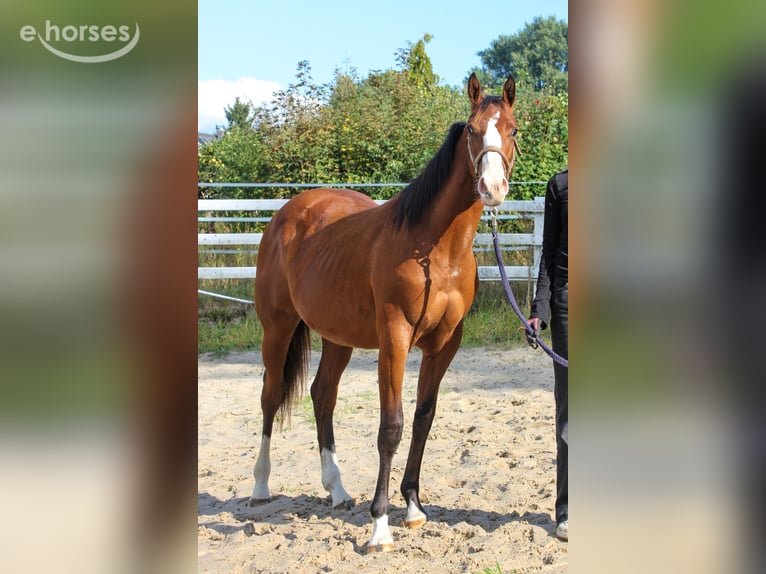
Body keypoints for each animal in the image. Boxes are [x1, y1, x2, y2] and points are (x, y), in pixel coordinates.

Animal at [249, 73, 519, 552]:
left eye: (514, 130)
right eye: (472, 130)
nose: (492, 188)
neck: (433, 249)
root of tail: (287, 215)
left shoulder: (445, 345)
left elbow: (423, 418)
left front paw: (412, 507)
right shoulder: (394, 337)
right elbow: (391, 426)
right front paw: (379, 525)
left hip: (337, 337)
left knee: (322, 395)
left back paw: (337, 490)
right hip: (276, 328)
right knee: (270, 394)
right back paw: (261, 486)